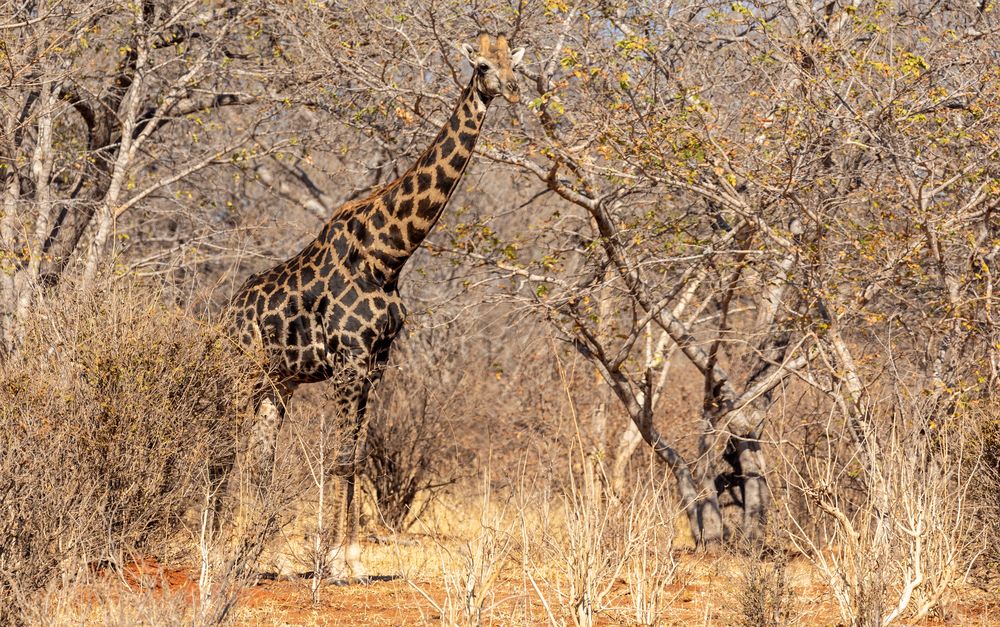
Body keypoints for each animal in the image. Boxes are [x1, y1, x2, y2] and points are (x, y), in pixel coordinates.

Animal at [230, 34, 528, 580]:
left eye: (513, 64)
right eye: (481, 65)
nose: (513, 91)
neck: (387, 254)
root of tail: (228, 310)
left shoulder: (375, 364)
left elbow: (359, 456)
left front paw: (352, 559)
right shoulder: (348, 363)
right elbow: (343, 458)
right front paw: (335, 562)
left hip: (278, 382)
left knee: (261, 456)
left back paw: (261, 554)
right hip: (243, 370)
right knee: (229, 442)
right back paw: (225, 545)